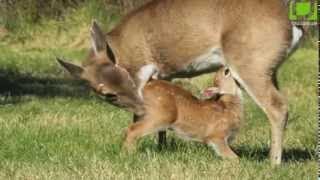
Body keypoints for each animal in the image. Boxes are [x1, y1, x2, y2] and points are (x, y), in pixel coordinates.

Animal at [58, 0, 302, 165]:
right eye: (108, 94)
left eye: (124, 76)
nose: (137, 103)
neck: (122, 51)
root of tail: (293, 25)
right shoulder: (162, 76)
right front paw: (161, 149)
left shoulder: (144, 74)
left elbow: (139, 117)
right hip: (270, 68)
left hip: (250, 62)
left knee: (277, 107)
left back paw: (273, 162)